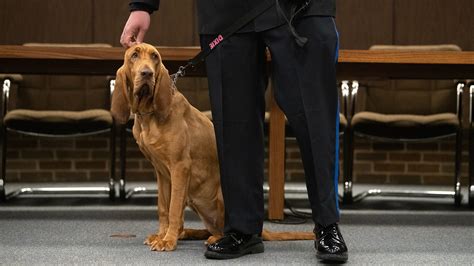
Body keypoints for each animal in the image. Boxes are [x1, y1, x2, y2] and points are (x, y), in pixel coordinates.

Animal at [111, 43, 314, 251]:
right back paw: (188, 234)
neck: (149, 115)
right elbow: (163, 207)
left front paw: (167, 240)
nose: (147, 73)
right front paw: (162, 235)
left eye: (155, 57)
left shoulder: (180, 167)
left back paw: (215, 239)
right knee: (205, 227)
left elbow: (173, 208)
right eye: (134, 55)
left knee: (223, 229)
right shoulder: (161, 172)